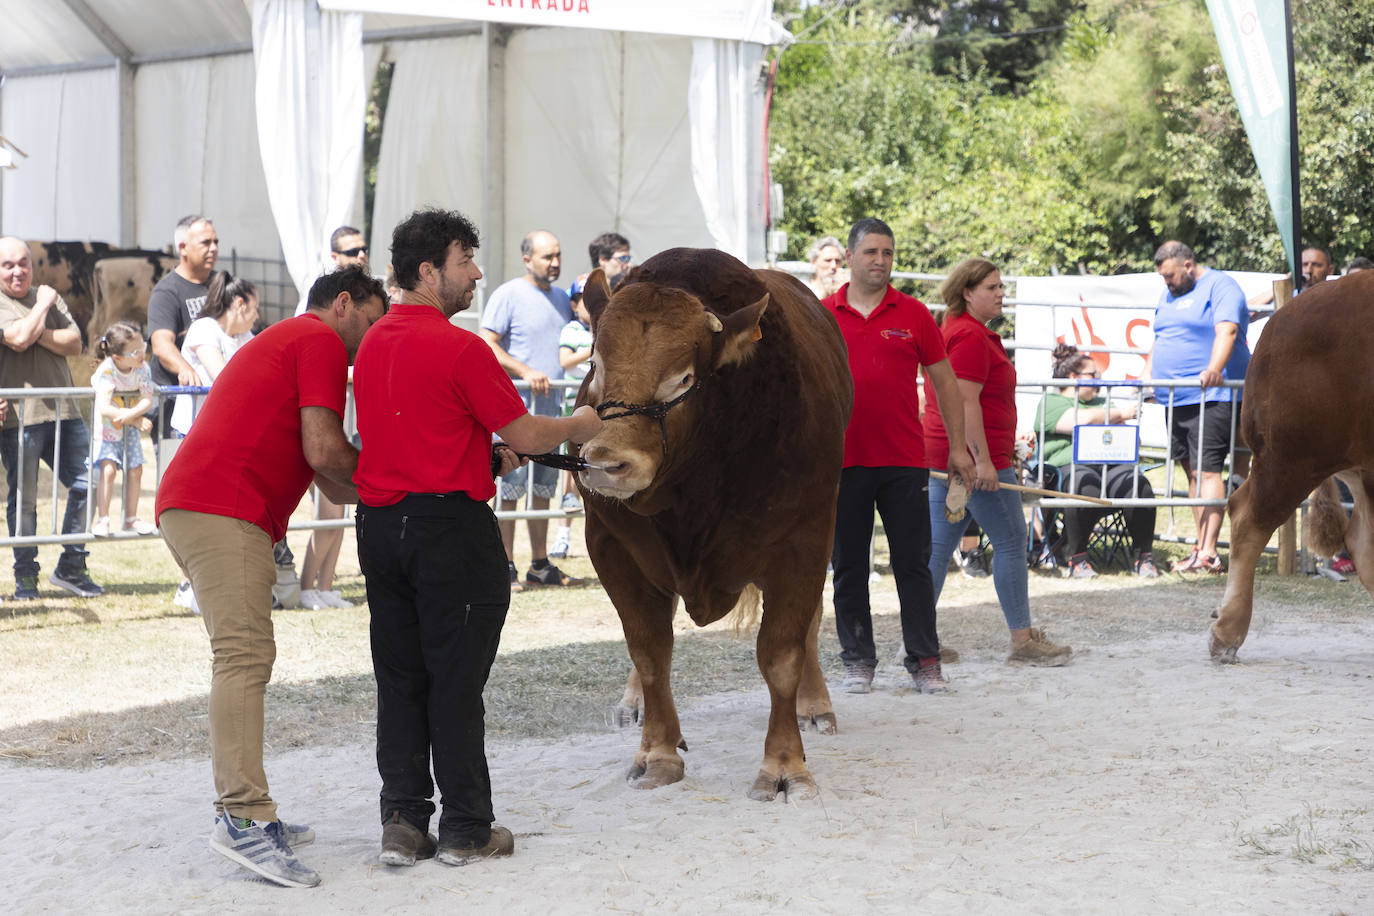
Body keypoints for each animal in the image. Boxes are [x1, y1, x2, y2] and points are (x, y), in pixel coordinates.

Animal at [574, 248, 851, 802]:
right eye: (595, 365)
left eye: (682, 379)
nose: (606, 463)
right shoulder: (610, 546)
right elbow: (649, 650)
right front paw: (657, 752)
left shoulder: (804, 541)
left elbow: (782, 655)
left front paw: (785, 764)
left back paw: (814, 703)